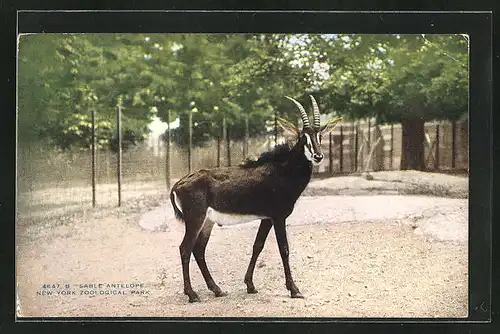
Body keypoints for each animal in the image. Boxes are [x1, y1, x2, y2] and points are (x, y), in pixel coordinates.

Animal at [170, 94, 342, 302]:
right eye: (303, 137)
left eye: (320, 136)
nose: (318, 156)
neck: (282, 170)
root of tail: (179, 184)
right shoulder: (278, 217)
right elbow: (284, 249)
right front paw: (294, 290)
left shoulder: (266, 218)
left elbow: (257, 246)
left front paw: (250, 285)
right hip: (195, 219)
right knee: (185, 249)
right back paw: (192, 294)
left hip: (207, 222)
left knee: (198, 250)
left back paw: (217, 289)